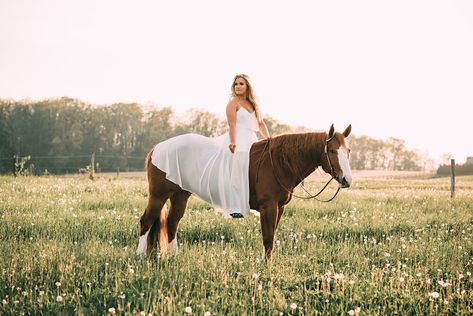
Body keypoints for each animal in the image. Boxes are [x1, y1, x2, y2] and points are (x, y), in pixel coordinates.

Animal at [136, 124, 350, 260]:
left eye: (348, 151)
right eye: (332, 150)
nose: (346, 180)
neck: (278, 163)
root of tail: (158, 148)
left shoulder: (279, 208)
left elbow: (271, 237)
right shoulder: (268, 208)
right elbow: (268, 239)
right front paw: (265, 267)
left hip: (180, 195)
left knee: (172, 223)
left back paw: (173, 256)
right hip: (158, 195)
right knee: (147, 221)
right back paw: (139, 256)